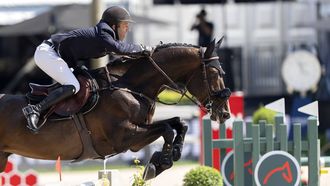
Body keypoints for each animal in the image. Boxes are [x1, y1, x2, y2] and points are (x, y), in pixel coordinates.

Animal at [0, 38, 231, 179]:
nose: (225, 114)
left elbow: (179, 123)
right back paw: (32, 116)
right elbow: (166, 129)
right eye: (216, 73)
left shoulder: (137, 135)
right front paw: (159, 163)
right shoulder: (124, 137)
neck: (130, 86)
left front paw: (171, 154)